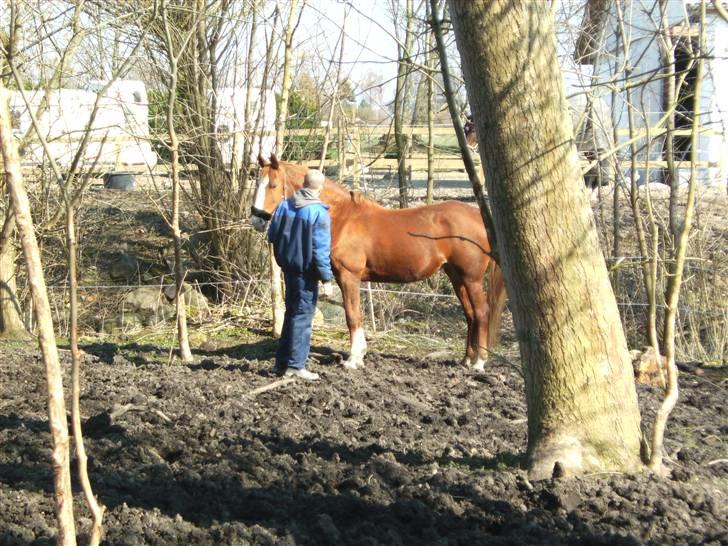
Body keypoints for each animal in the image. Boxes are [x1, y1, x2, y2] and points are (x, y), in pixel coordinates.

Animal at [250, 153, 506, 370]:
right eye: (257, 183)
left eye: (273, 185)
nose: (256, 220)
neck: (342, 217)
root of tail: (478, 216)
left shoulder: (349, 277)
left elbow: (352, 316)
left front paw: (353, 359)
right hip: (456, 276)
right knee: (470, 314)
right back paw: (467, 359)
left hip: (471, 278)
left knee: (482, 312)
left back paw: (479, 362)